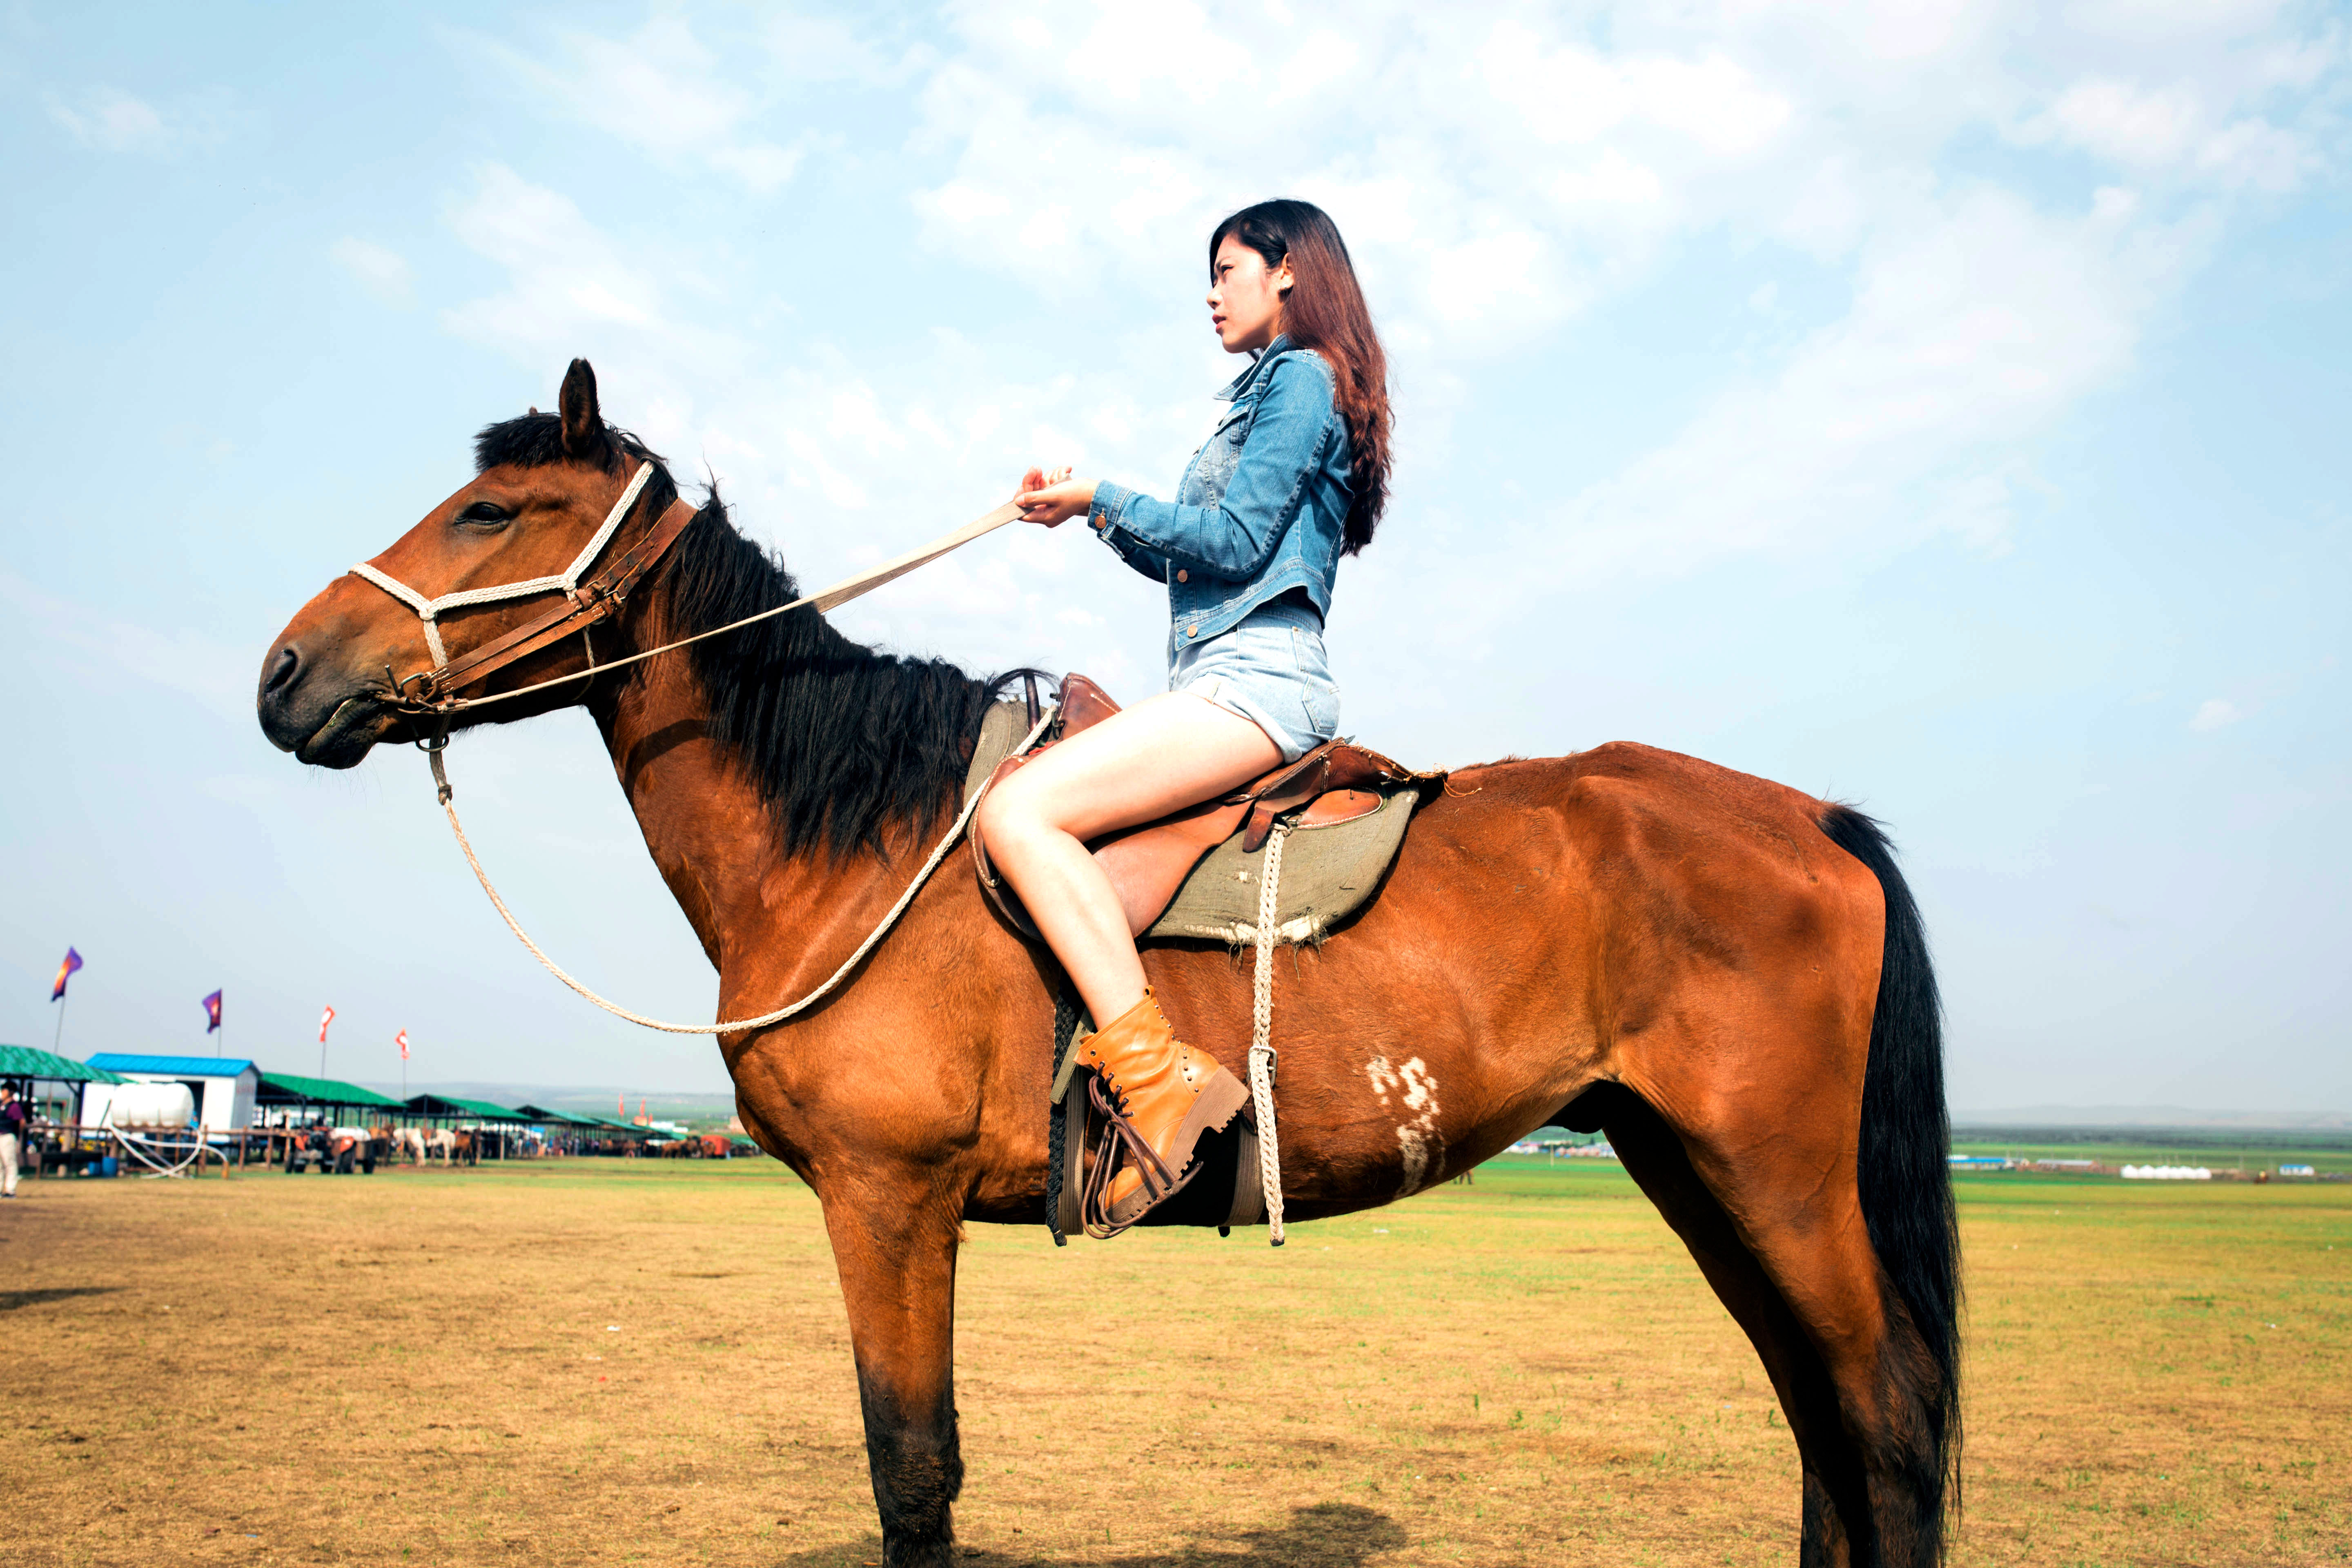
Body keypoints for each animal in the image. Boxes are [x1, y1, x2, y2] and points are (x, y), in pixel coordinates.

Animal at [257, 362, 1957, 1568]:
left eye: (491, 515)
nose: (285, 672)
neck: (854, 837)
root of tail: (1809, 817)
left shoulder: (889, 1200)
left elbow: (912, 1475)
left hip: (1777, 1181)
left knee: (1878, 1430)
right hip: (1697, 1170)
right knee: (1820, 1427)